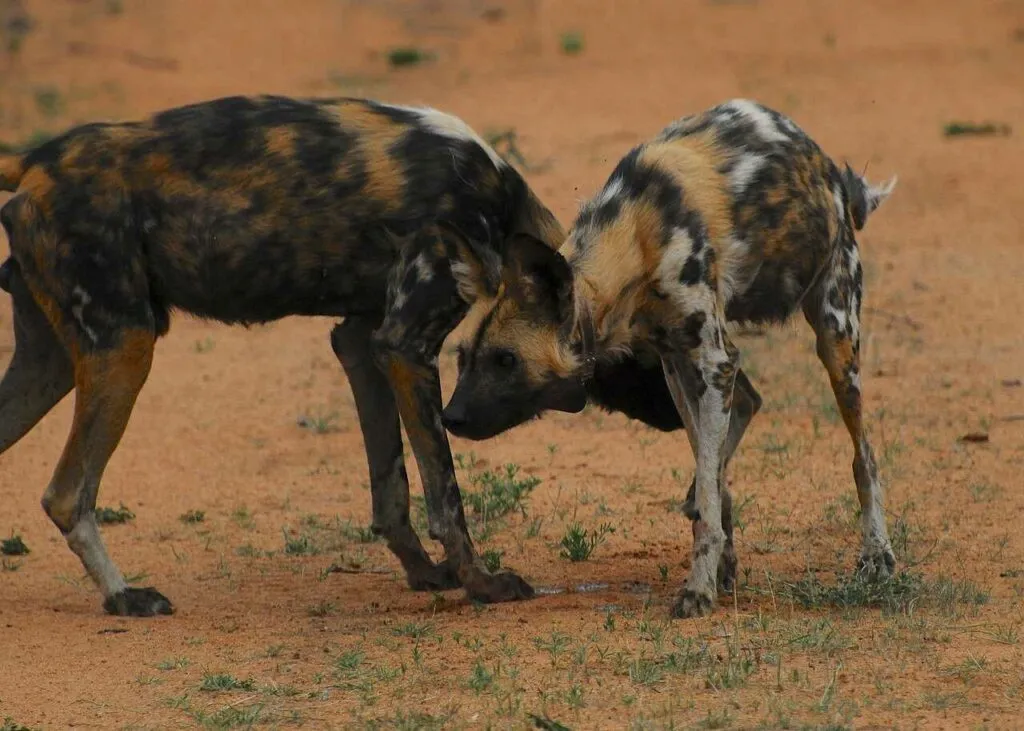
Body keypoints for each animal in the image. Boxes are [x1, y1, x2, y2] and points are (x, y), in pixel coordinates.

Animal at [0, 92, 585, 614]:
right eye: (492, 359)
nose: (456, 417)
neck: (498, 205)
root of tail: (36, 160)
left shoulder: (363, 343)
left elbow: (390, 488)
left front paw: (423, 572)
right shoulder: (405, 347)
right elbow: (445, 495)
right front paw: (480, 584)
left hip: (54, 363)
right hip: (125, 348)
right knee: (67, 494)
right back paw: (123, 597)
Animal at [444, 99, 901, 618]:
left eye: (505, 360)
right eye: (462, 358)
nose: (450, 417)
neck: (635, 235)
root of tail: (828, 169)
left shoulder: (714, 361)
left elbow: (707, 494)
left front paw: (697, 590)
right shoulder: (679, 364)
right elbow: (708, 483)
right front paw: (717, 561)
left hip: (836, 341)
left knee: (864, 456)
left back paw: (877, 556)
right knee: (747, 412)